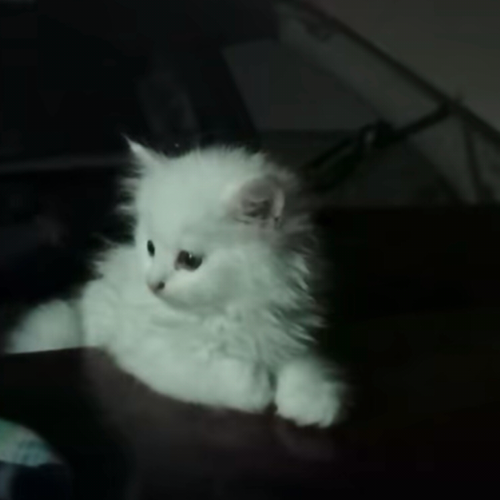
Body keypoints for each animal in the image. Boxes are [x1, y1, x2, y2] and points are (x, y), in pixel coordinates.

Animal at [7, 143, 344, 427]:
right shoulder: (149, 350)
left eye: (189, 260)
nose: (153, 283)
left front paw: (313, 400)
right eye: (151, 248)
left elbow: (304, 366)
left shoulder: (288, 334)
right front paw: (257, 386)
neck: (229, 309)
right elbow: (213, 374)